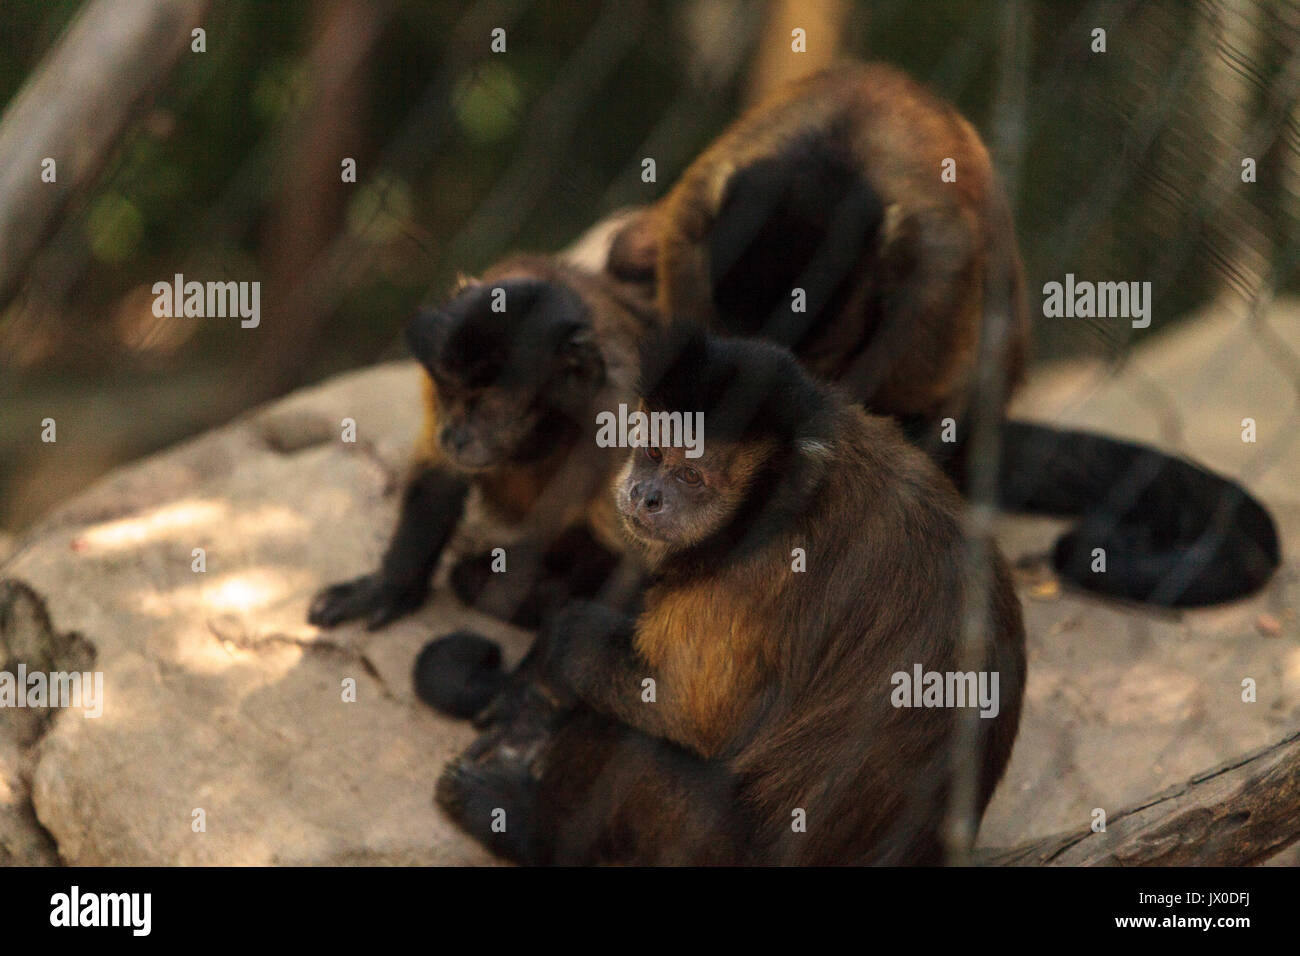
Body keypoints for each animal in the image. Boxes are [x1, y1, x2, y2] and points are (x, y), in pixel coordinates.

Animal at [434, 329, 1024, 868]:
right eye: (653, 452)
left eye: (691, 476)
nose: (646, 496)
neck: (789, 491)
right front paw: (527, 694)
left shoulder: (756, 571)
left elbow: (685, 712)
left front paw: (553, 648)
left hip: (721, 852)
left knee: (618, 740)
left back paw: (527, 831)